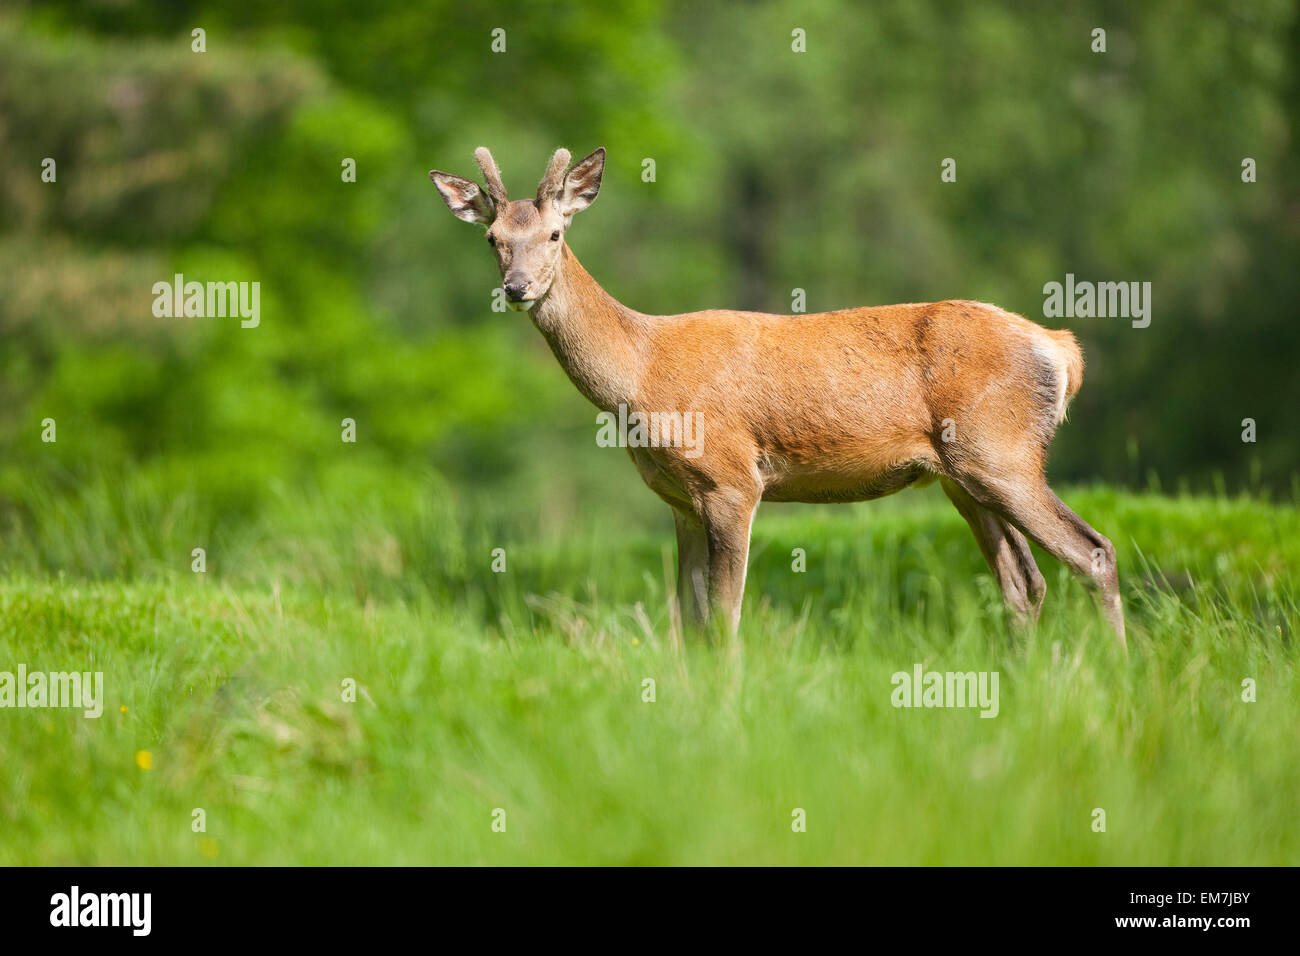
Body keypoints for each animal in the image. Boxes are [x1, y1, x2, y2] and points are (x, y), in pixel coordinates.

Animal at [428, 145, 1128, 647]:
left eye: (554, 235)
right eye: (492, 239)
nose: (517, 288)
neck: (641, 374)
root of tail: (1061, 348)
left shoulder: (731, 479)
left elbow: (723, 618)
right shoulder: (678, 500)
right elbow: (686, 621)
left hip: (1000, 451)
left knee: (1092, 552)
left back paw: (1116, 679)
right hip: (964, 476)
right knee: (1023, 584)